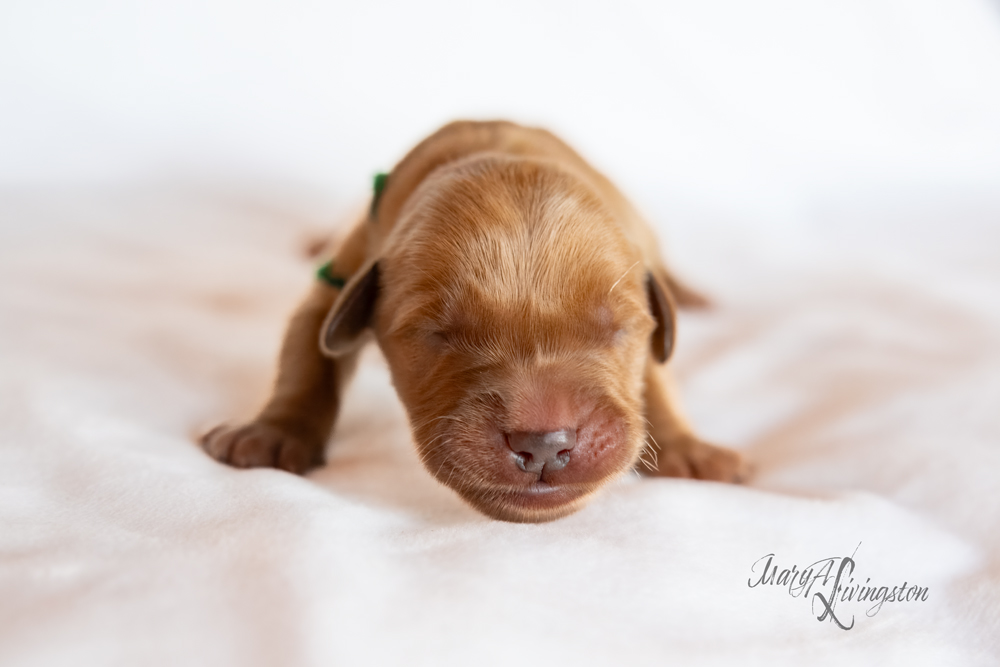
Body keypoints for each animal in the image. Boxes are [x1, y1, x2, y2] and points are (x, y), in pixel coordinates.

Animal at [201, 122, 744, 524]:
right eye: (438, 335)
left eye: (616, 331)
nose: (543, 445)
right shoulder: (342, 275)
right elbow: (306, 359)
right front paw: (272, 433)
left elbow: (657, 378)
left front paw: (689, 449)